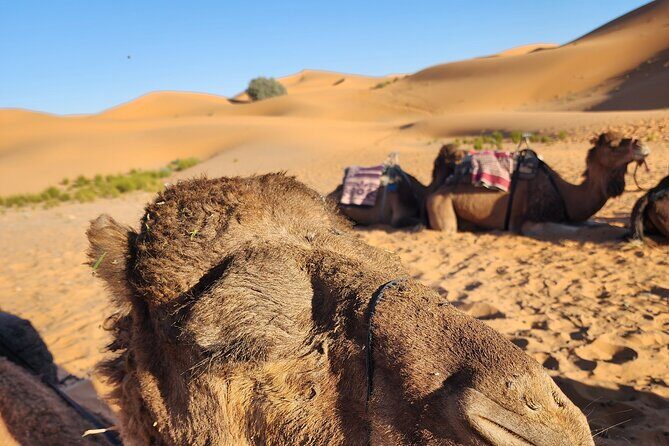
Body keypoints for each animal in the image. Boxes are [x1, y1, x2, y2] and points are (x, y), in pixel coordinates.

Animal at [426, 132, 650, 234]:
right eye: (613, 146)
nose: (642, 145)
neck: (565, 193)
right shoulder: (530, 223)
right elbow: (575, 230)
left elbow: (593, 223)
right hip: (440, 206)